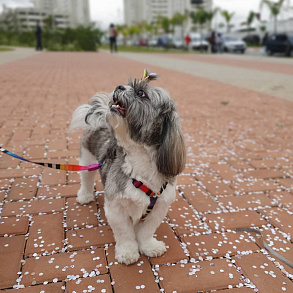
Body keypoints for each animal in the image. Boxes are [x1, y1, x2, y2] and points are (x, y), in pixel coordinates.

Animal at [70, 69, 185, 264]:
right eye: (127, 85)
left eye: (141, 93)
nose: (119, 87)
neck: (140, 157)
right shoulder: (116, 208)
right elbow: (125, 233)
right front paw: (128, 252)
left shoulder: (158, 208)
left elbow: (146, 231)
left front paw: (149, 246)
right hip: (87, 159)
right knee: (86, 178)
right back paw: (85, 195)